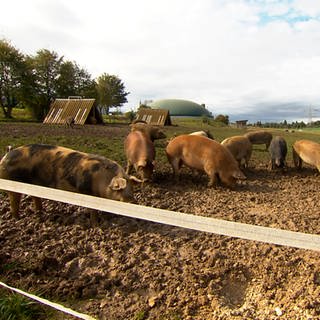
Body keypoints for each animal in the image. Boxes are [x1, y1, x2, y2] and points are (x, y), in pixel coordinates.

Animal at [0, 144, 140, 219]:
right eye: (120, 188)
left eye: (132, 188)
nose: (133, 201)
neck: (102, 180)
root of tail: (7, 154)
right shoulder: (85, 190)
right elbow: (93, 211)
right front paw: (95, 223)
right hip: (13, 184)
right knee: (14, 200)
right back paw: (17, 218)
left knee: (35, 198)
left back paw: (39, 213)